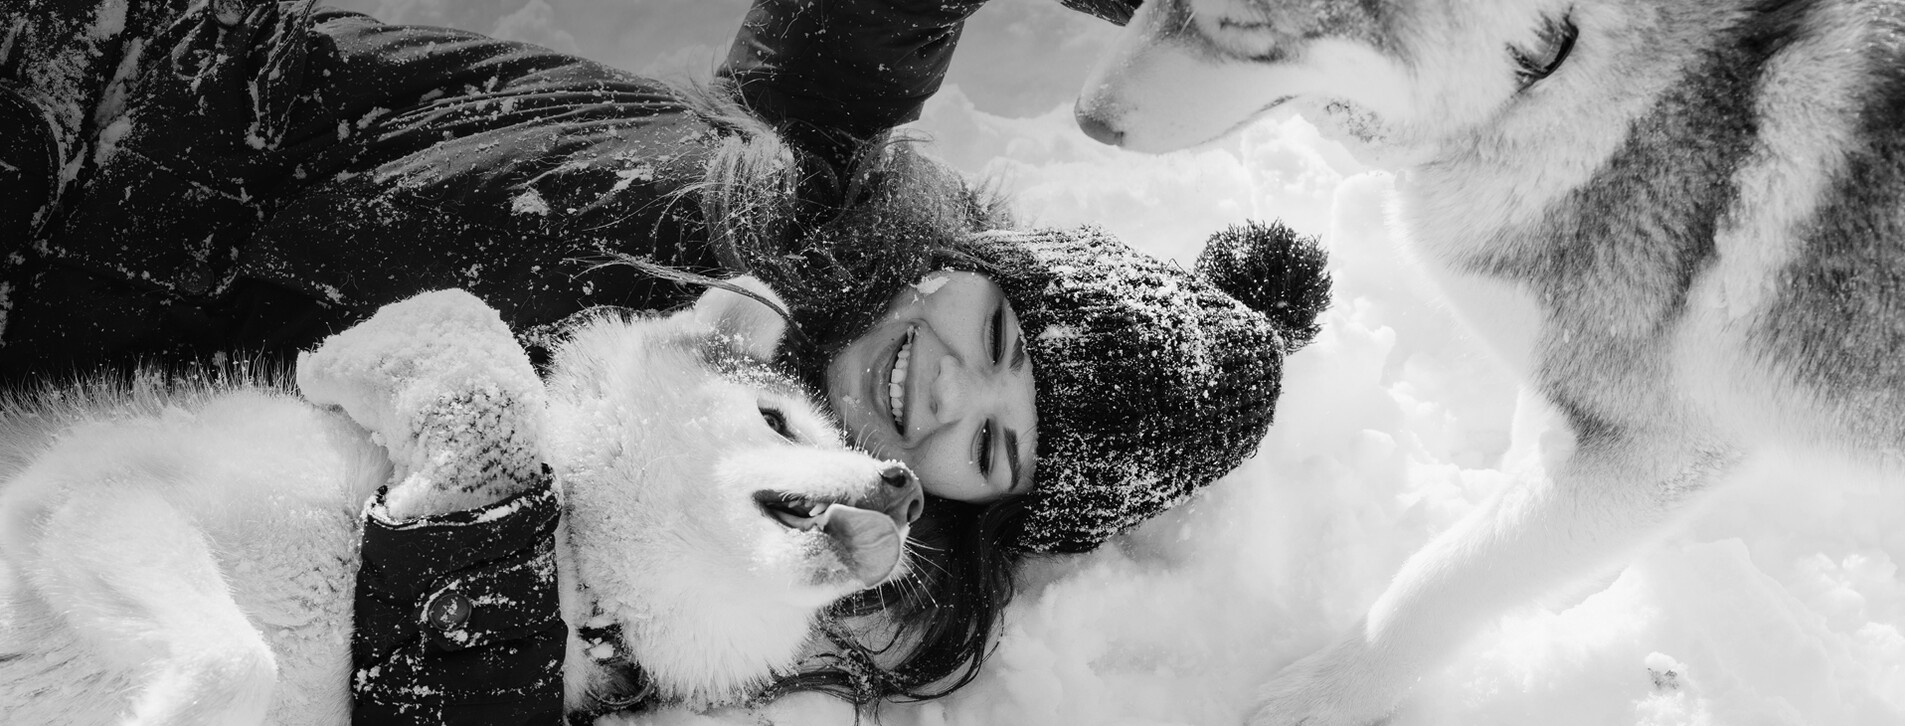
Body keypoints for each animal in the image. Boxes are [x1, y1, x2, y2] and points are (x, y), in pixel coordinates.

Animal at [1082, 0, 1905, 720]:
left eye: (1241, 31)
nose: (1086, 117)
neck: (1551, 74)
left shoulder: (1656, 448)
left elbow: (1447, 575)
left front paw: (1324, 695)